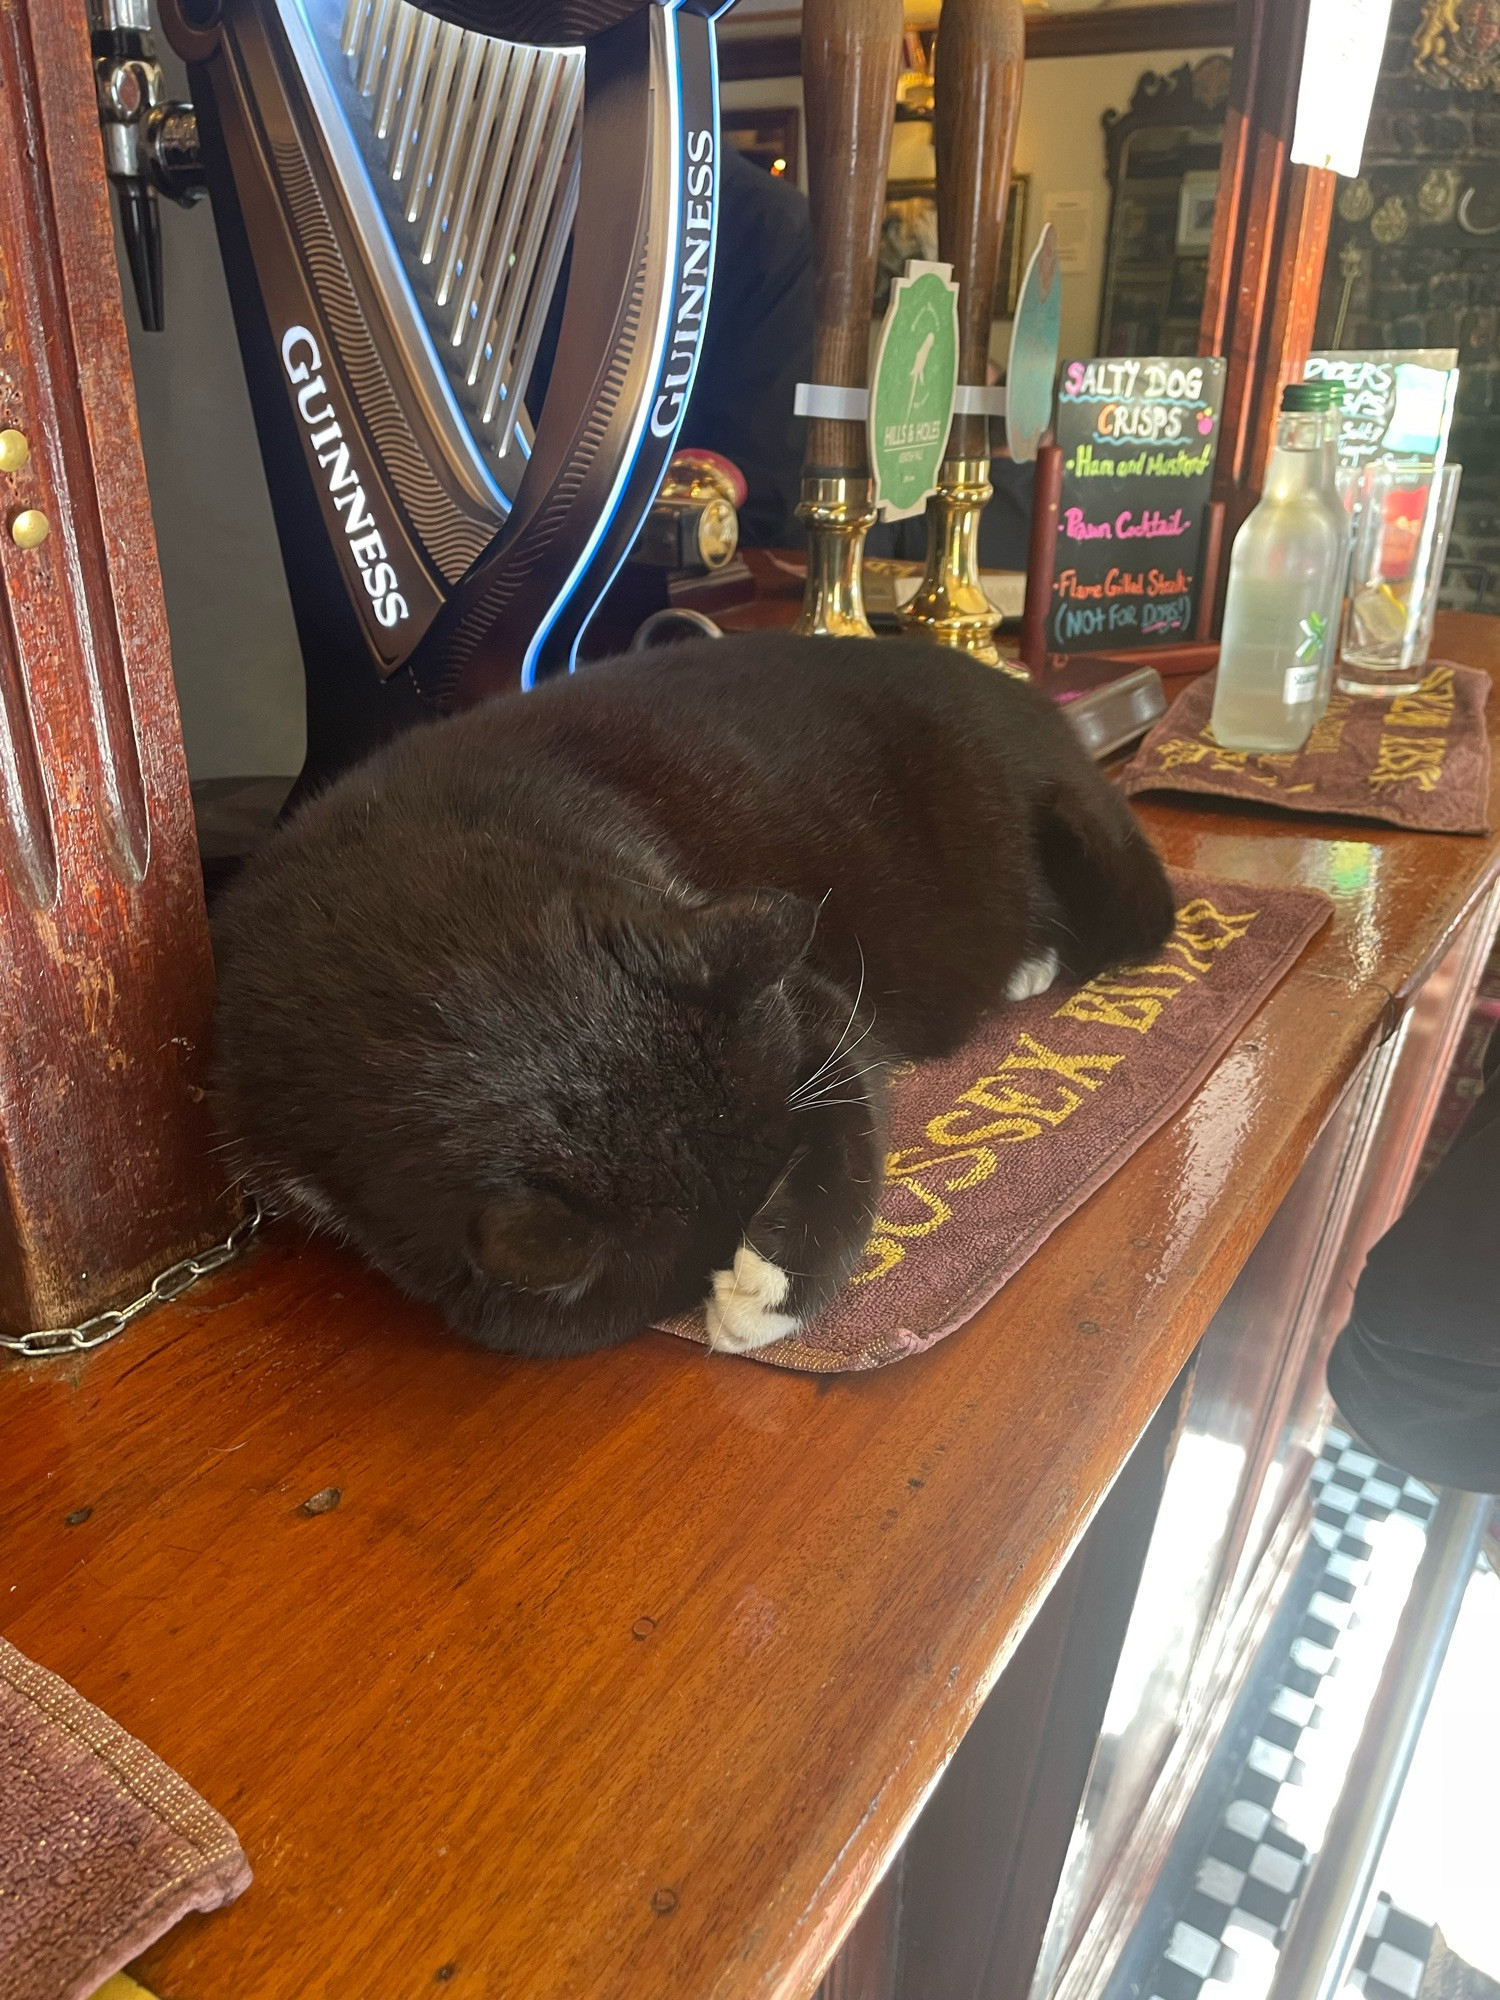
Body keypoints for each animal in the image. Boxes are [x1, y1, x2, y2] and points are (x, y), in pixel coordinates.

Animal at [214, 640, 1176, 1360]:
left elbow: (854, 1116)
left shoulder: (809, 1002)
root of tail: (1042, 707)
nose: (742, 1248)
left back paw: (1031, 965)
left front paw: (768, 1292)